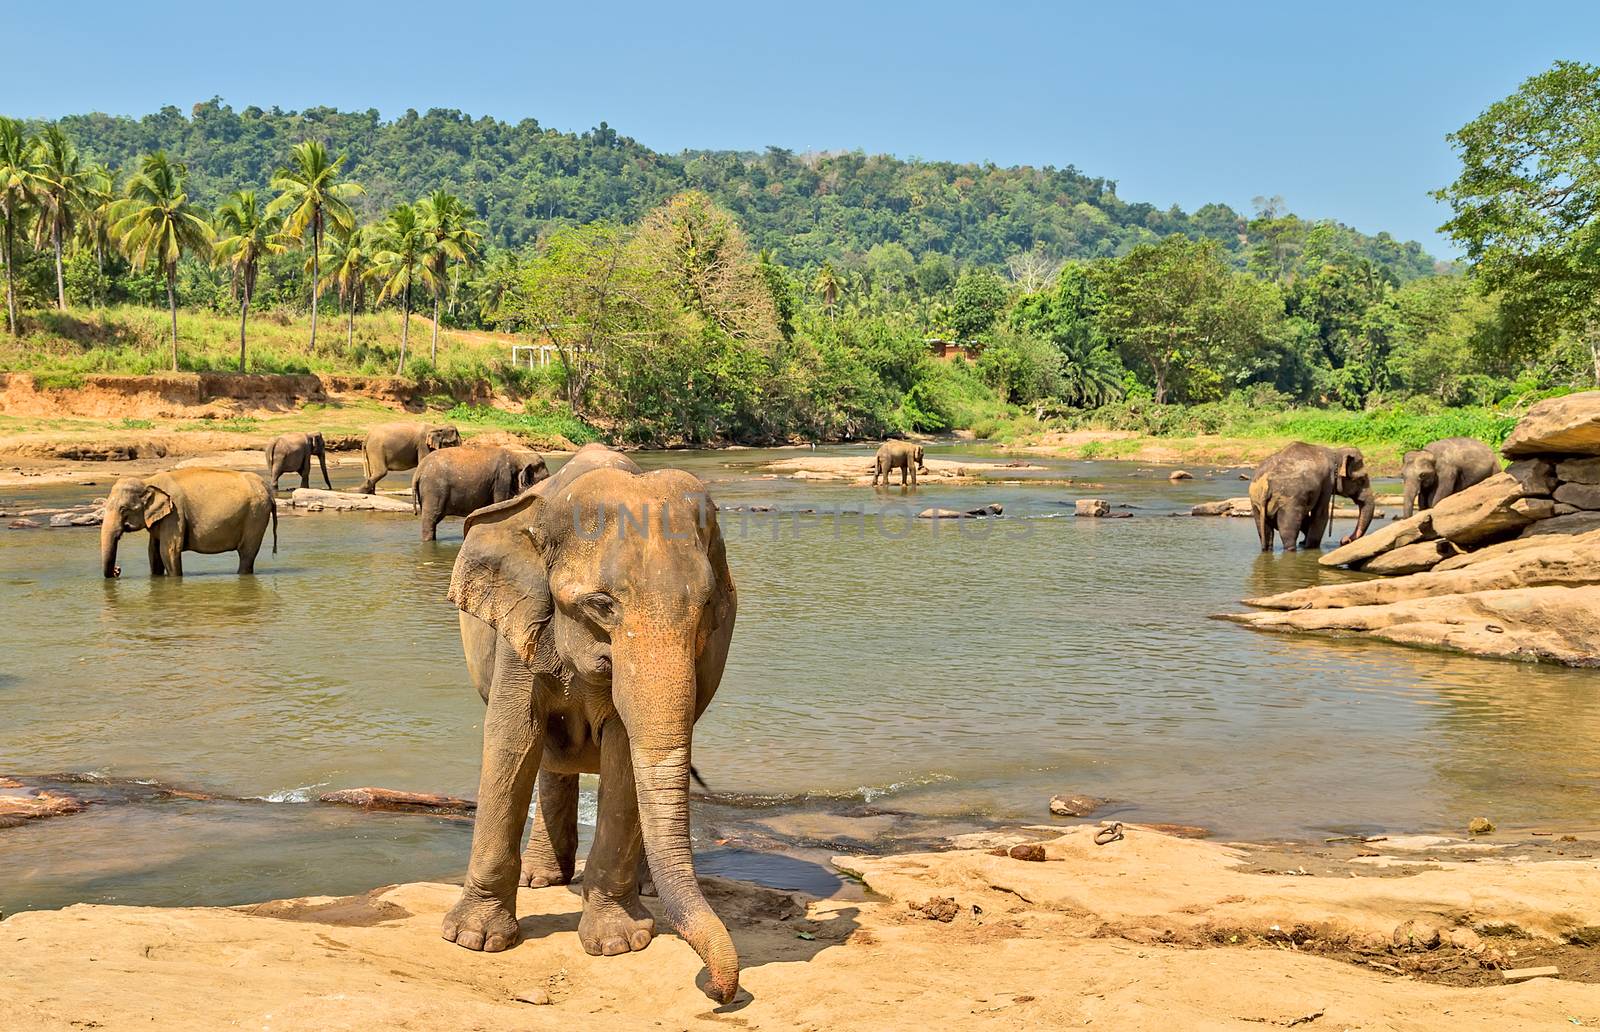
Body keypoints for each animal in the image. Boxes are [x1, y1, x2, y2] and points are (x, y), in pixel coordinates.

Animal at [100, 470, 276, 576]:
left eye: (123, 509)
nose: (117, 569)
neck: (147, 481)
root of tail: (266, 488)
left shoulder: (175, 514)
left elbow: (168, 551)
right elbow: (154, 553)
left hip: (256, 515)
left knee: (246, 553)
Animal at [412, 441, 550, 540]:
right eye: (545, 478)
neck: (519, 455)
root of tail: (418, 471)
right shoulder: (502, 478)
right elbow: (500, 502)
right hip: (433, 489)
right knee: (431, 519)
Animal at [438, 441, 736, 998]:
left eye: (708, 606)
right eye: (600, 605)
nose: (717, 988)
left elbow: (623, 754)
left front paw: (618, 944)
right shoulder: (521, 623)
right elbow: (512, 740)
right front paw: (474, 940)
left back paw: (641, 888)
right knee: (549, 762)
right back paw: (542, 880)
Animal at [1248, 441, 1376, 556]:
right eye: (1361, 480)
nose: (1344, 540)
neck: (1335, 453)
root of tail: (1265, 481)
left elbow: (1306, 518)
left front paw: (1303, 543)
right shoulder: (1327, 482)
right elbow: (1321, 515)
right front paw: (1310, 547)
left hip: (1256, 503)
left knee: (1265, 532)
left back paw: (1267, 550)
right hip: (1288, 502)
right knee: (1288, 531)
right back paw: (1291, 550)